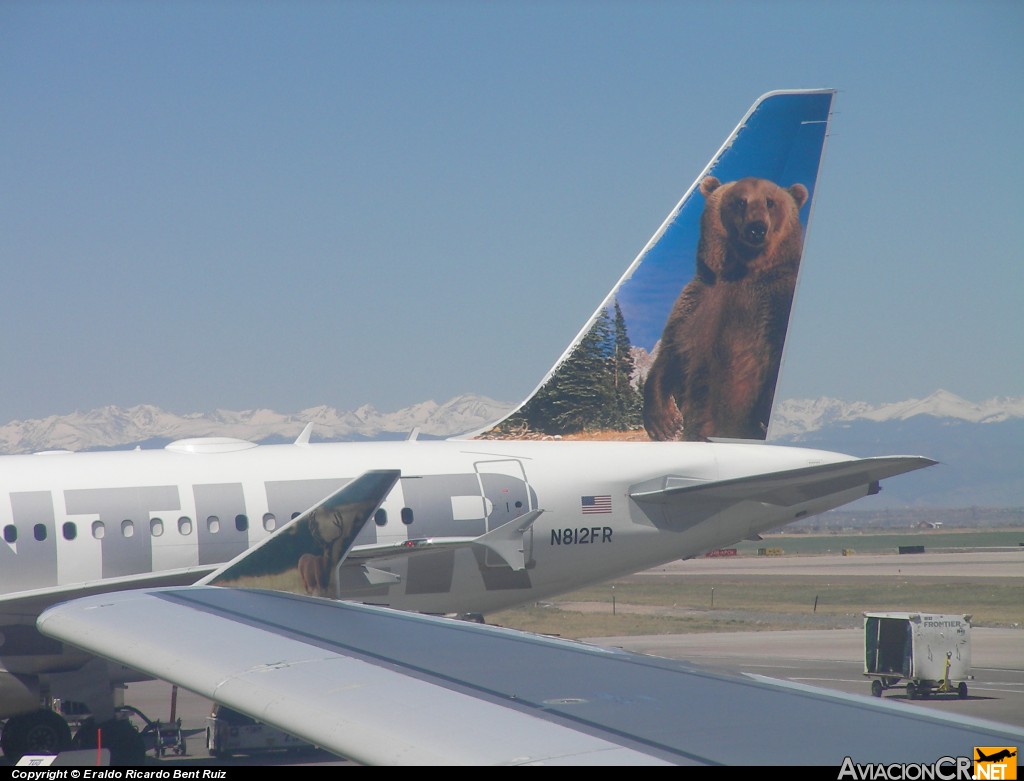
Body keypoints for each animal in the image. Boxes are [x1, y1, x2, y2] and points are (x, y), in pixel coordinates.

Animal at [647, 177, 806, 442]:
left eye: (770, 201)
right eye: (739, 201)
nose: (756, 228)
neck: (742, 271)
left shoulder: (775, 302)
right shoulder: (697, 301)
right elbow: (672, 351)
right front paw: (663, 421)